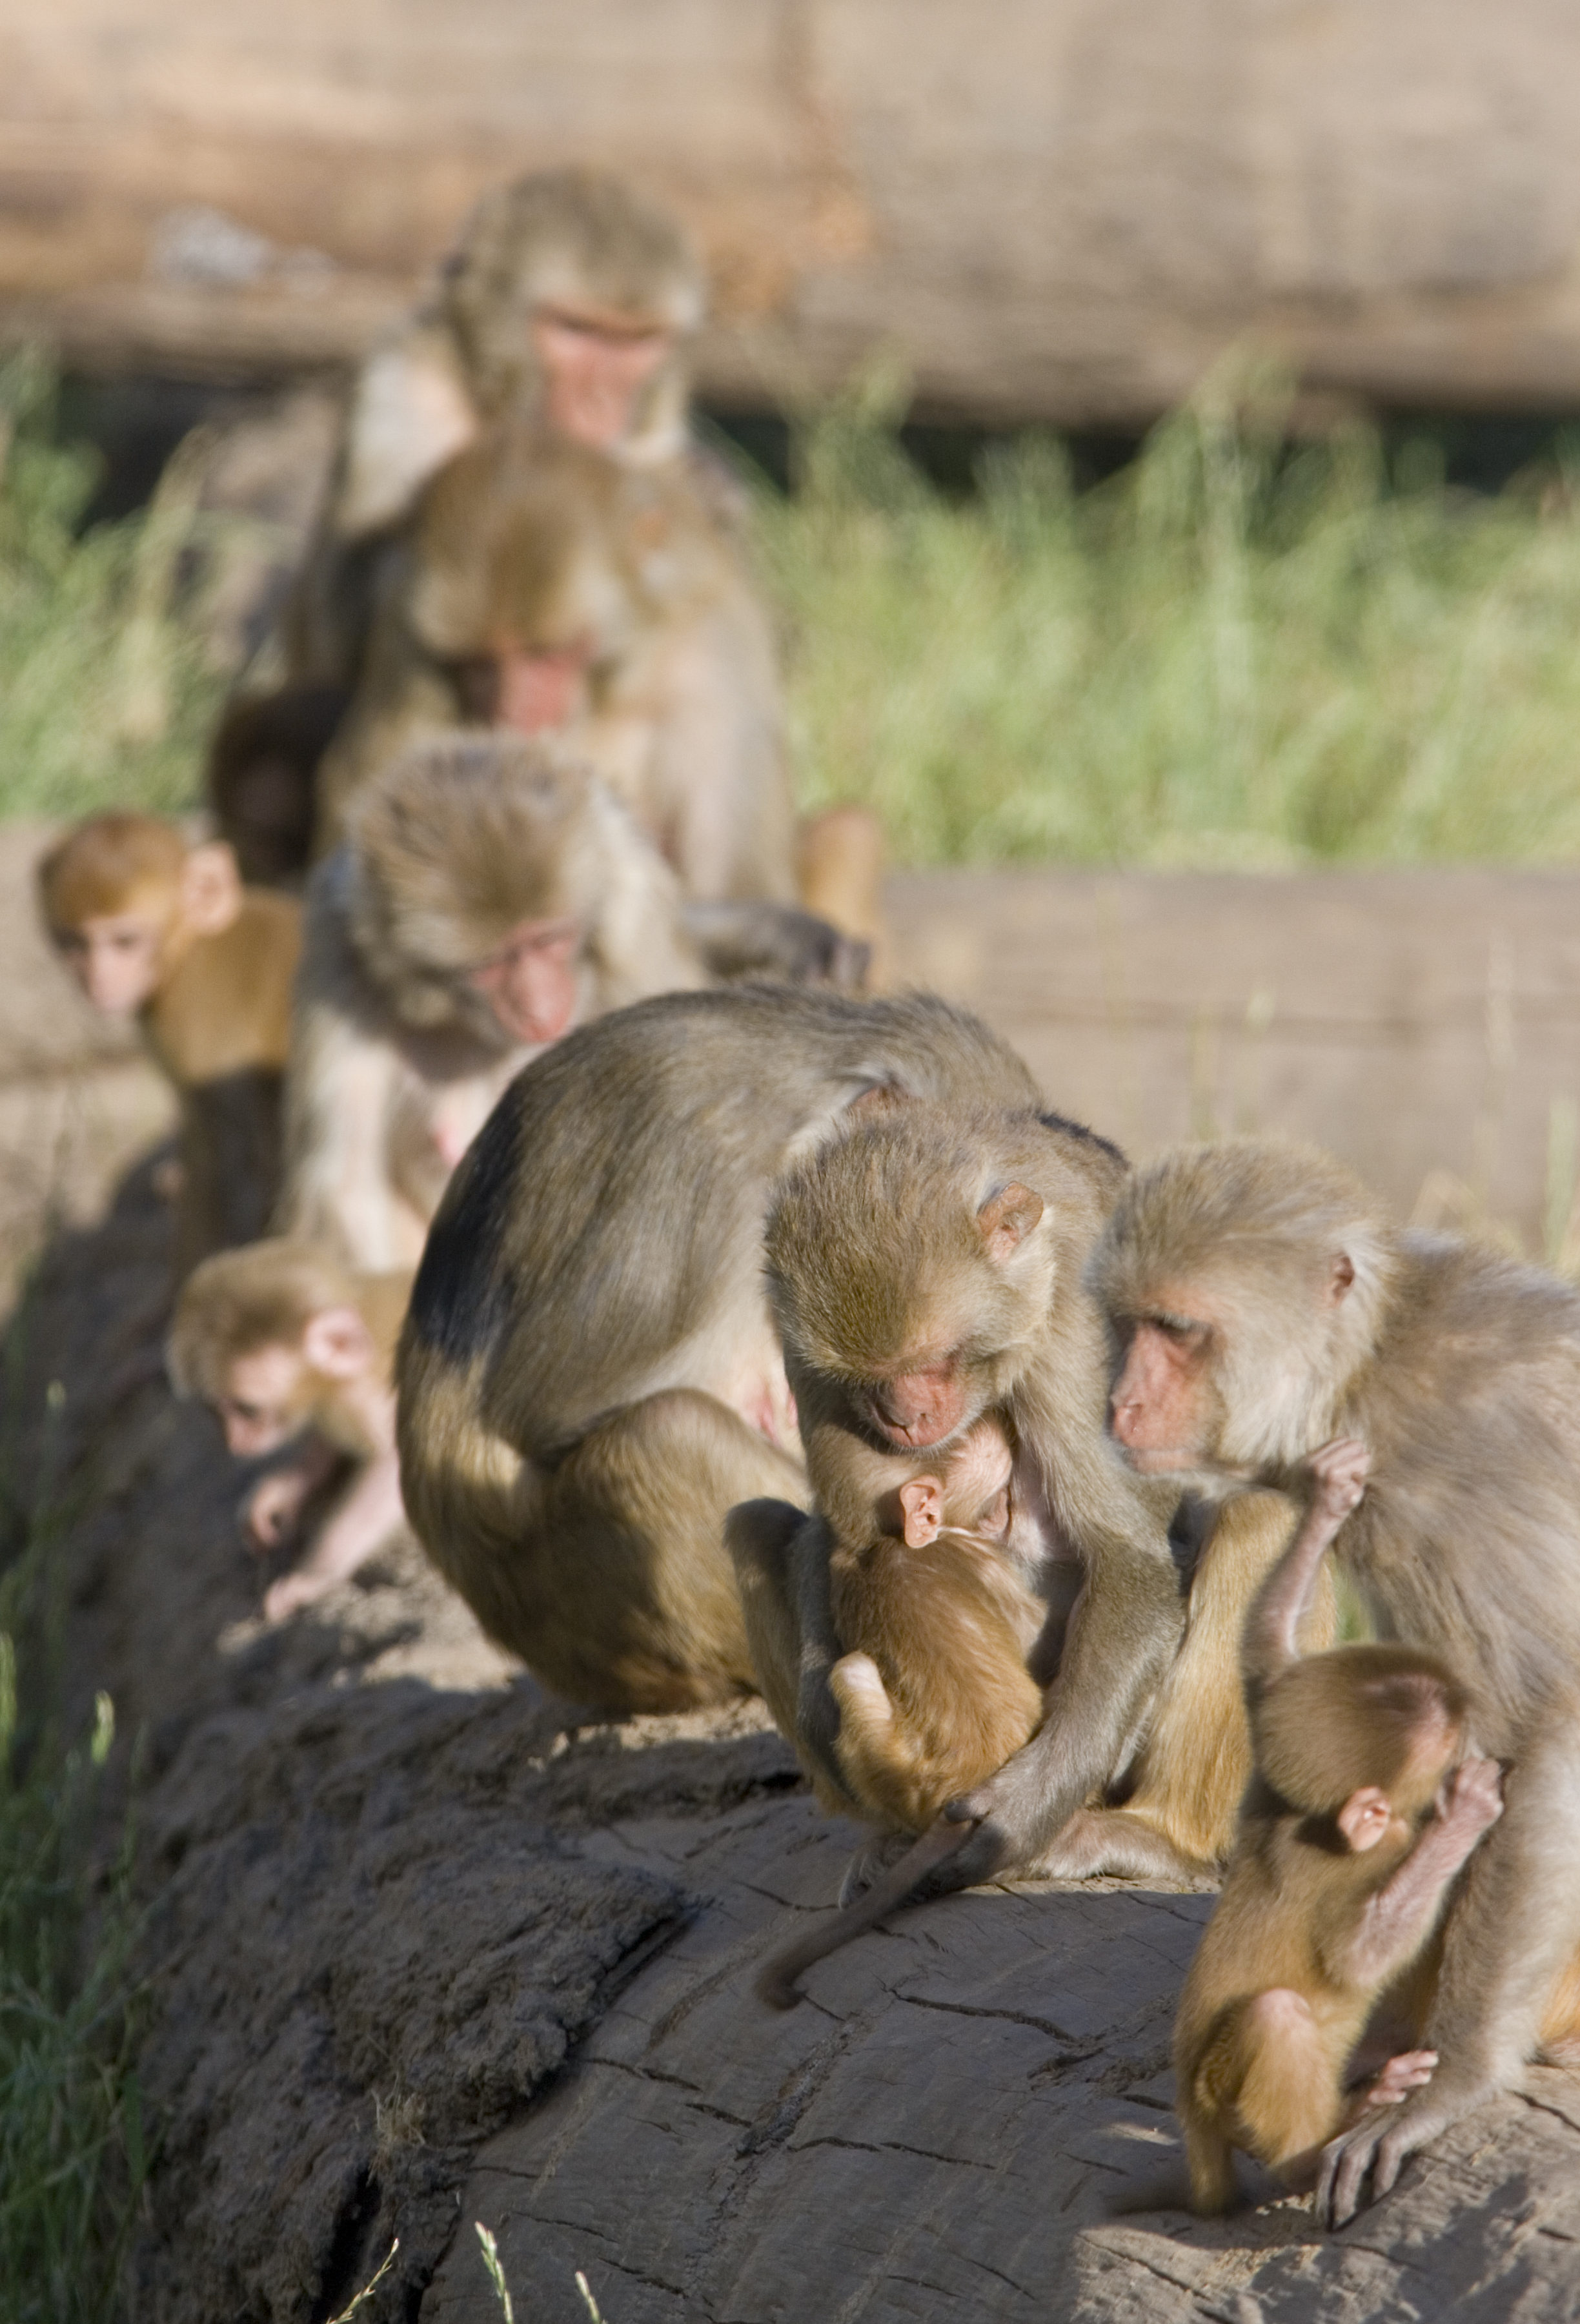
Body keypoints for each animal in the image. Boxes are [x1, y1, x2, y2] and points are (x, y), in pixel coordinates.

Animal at [38, 818, 304, 1283]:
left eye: (125, 940)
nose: (98, 981)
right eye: (76, 942)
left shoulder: (194, 1026)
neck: (189, 944)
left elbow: (233, 1160)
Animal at [169, 1245, 411, 1627]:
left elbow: (393, 1466)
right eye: (215, 1412)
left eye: (248, 1410)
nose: (235, 1442)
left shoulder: (369, 1396)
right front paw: (282, 1491)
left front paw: (313, 1577)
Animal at [278, 725, 860, 1273]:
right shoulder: (337, 955)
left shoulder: (632, 906)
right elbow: (349, 1191)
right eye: (490, 966)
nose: (541, 1009)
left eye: (550, 940)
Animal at [1180, 1431, 1496, 2212]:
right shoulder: (1358, 1861)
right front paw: (1467, 1813)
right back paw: (1313, 2152)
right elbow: (1360, 1954)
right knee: (1276, 2019)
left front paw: (1326, 1501)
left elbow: (1266, 1652)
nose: (1477, 1732)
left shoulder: (1269, 1777)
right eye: (1452, 1747)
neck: (1311, 1821)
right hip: (1220, 2092)